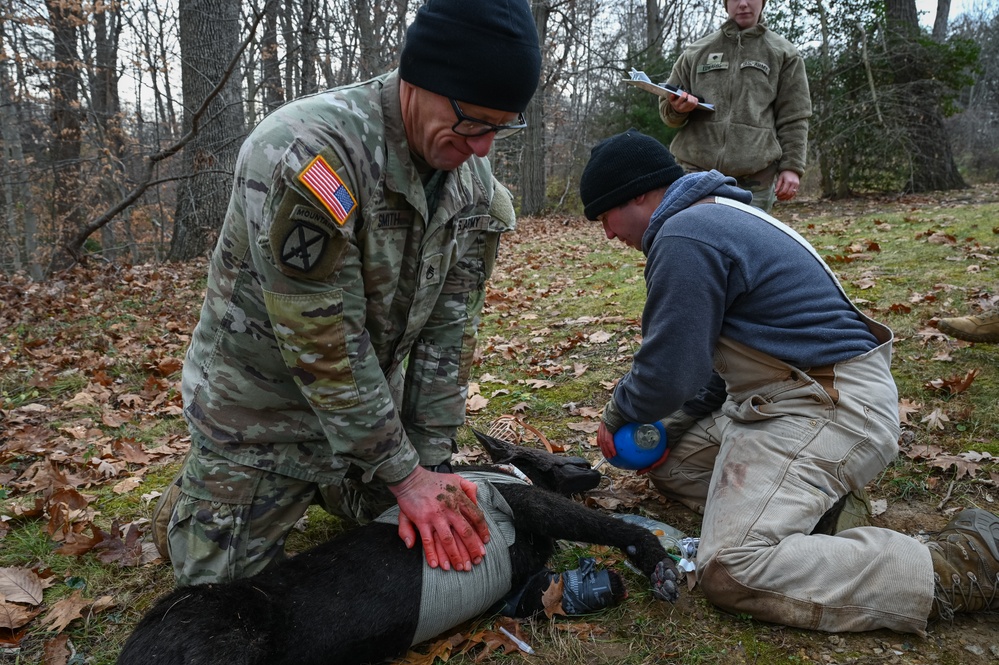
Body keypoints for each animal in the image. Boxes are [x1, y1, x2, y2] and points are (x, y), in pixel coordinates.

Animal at [117, 430, 680, 664]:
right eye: (556, 455)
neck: (505, 474)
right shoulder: (532, 506)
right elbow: (611, 528)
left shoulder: (520, 585)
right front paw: (657, 563)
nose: (593, 462)